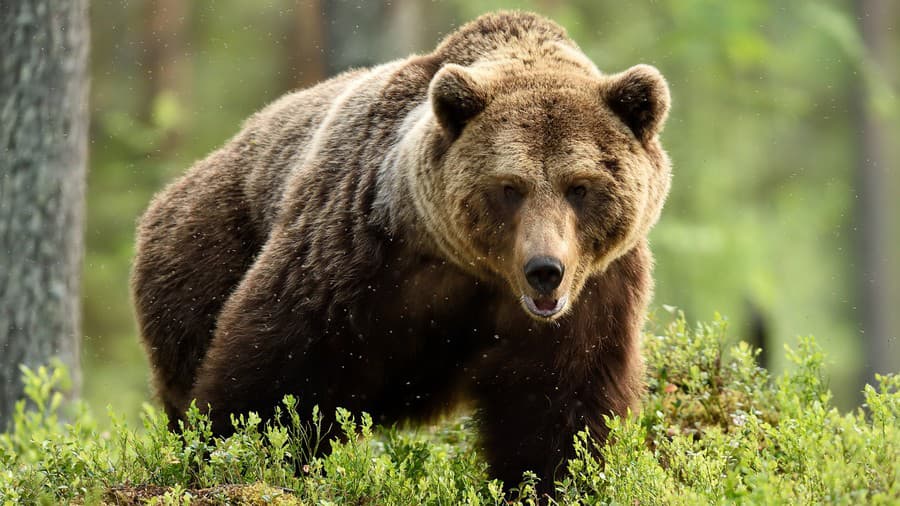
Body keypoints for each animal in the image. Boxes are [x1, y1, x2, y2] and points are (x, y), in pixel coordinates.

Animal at [132, 10, 668, 490]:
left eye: (580, 186)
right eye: (509, 187)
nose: (545, 270)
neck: (472, 269)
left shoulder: (593, 295)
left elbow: (558, 406)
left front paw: (553, 481)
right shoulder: (356, 247)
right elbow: (277, 365)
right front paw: (241, 449)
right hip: (204, 248)